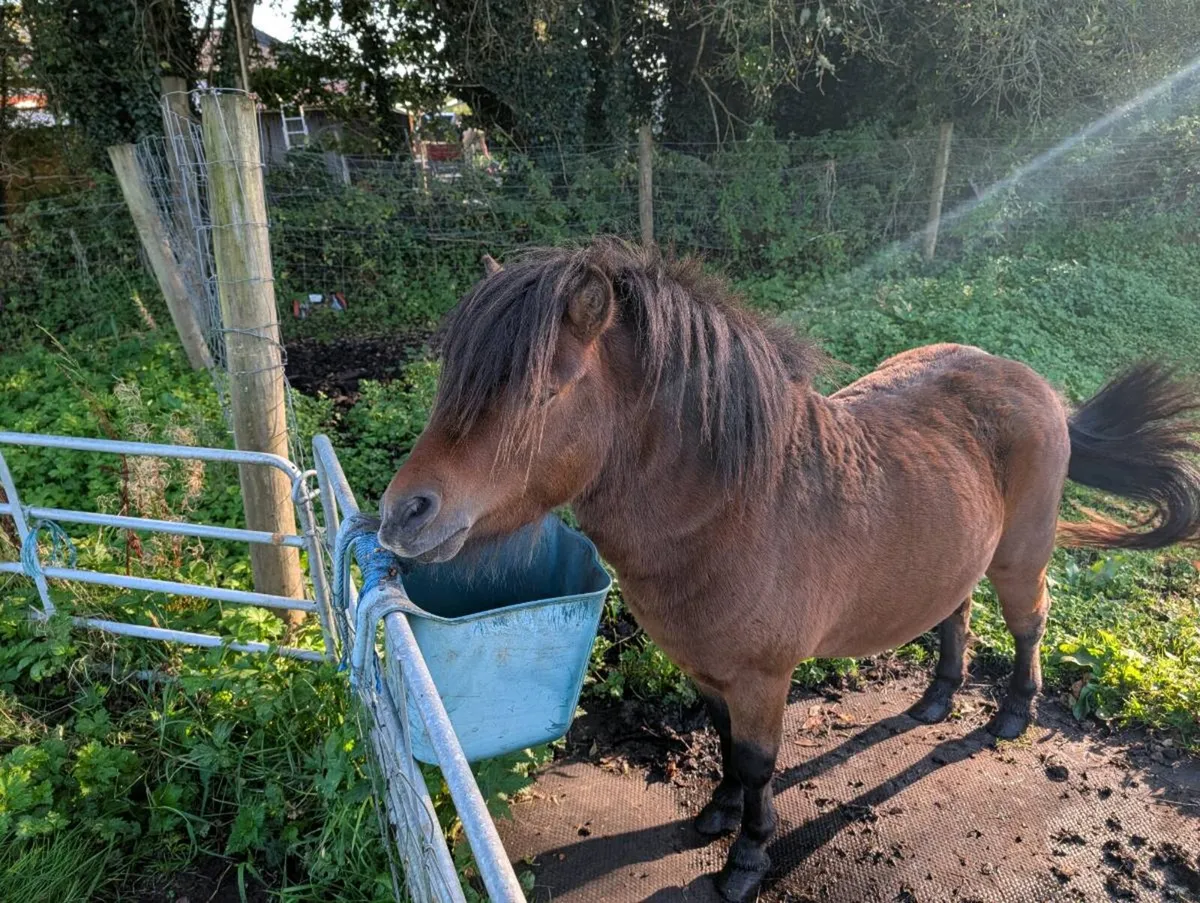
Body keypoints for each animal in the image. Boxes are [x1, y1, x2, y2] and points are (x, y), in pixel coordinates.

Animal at [377, 239, 1200, 902]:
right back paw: (937, 698)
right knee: (956, 613)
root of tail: (1038, 387)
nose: (401, 513)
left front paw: (746, 859)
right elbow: (725, 748)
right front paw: (717, 813)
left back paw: (1013, 714)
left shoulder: (762, 679)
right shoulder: (705, 668)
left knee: (1030, 623)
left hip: (1019, 558)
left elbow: (758, 762)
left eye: (542, 393)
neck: (735, 505)